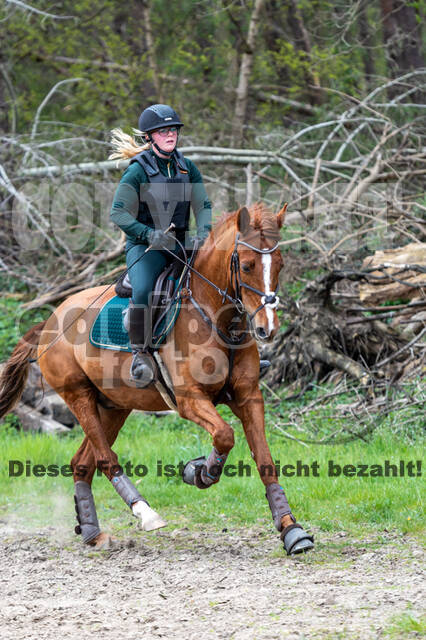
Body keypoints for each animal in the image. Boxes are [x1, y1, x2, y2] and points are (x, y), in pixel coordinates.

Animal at [0, 204, 312, 556]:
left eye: (280, 264)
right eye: (246, 266)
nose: (267, 329)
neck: (215, 317)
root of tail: (50, 320)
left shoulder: (249, 397)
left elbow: (265, 461)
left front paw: (292, 530)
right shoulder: (190, 400)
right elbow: (225, 435)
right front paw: (200, 472)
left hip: (113, 407)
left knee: (82, 463)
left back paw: (93, 533)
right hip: (78, 396)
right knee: (105, 459)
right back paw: (145, 513)